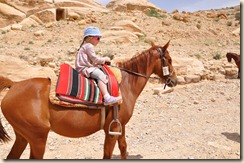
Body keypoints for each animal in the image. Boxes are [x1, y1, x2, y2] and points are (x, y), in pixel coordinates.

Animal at [0, 41, 176, 159]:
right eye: (169, 59)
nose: (174, 80)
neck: (126, 84)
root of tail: (14, 85)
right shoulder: (111, 130)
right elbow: (108, 154)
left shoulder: (121, 126)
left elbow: (123, 148)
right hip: (38, 138)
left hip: (23, 136)